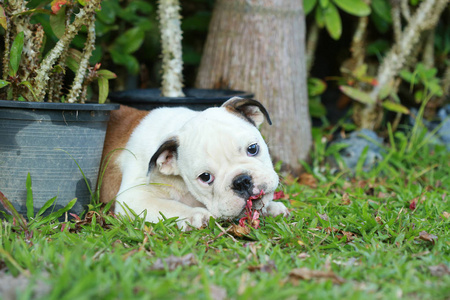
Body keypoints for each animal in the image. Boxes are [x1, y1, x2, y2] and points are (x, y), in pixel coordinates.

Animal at [100, 97, 290, 229]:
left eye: (253, 148)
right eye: (205, 177)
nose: (242, 181)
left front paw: (271, 208)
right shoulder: (132, 199)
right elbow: (168, 206)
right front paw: (196, 215)